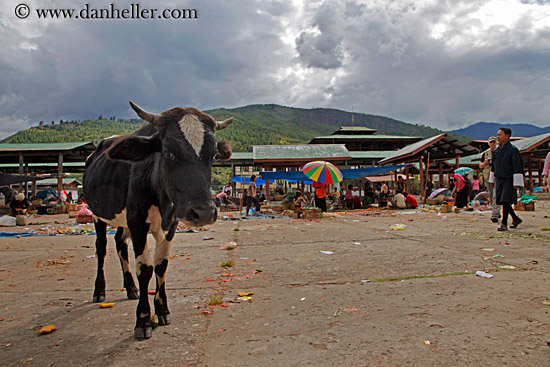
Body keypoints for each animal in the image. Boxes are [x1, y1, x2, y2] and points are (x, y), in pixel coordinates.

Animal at [83, 100, 234, 340]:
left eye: (212, 155)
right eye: (169, 153)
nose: (203, 212)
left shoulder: (170, 224)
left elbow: (161, 266)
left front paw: (162, 310)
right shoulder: (137, 221)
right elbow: (144, 268)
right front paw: (143, 319)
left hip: (123, 222)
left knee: (119, 244)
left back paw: (131, 288)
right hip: (98, 214)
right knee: (102, 248)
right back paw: (99, 291)